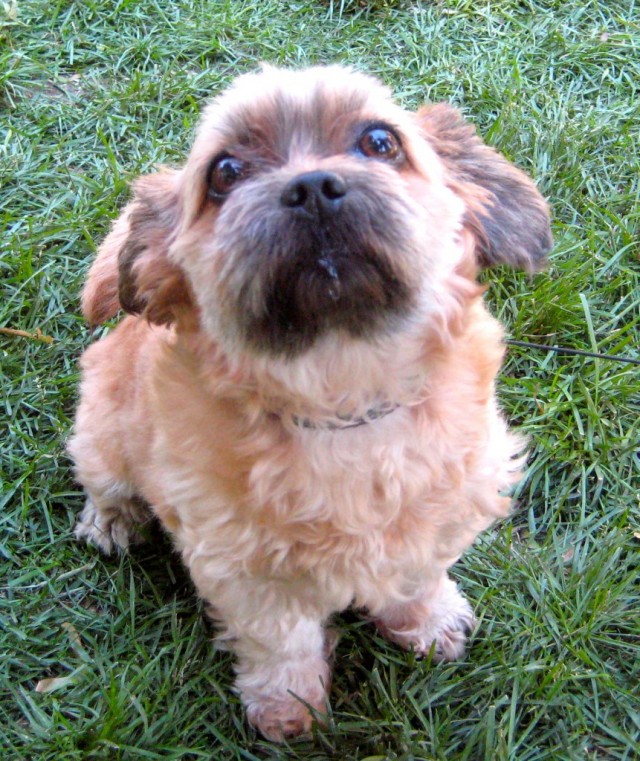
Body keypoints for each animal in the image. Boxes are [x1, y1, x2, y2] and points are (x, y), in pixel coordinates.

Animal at [67, 65, 552, 744]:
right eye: (225, 172)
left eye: (380, 141)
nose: (313, 188)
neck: (343, 402)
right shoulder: (242, 570)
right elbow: (281, 641)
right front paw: (288, 703)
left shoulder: (444, 511)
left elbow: (417, 577)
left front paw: (427, 621)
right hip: (101, 431)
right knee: (104, 482)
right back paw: (111, 521)